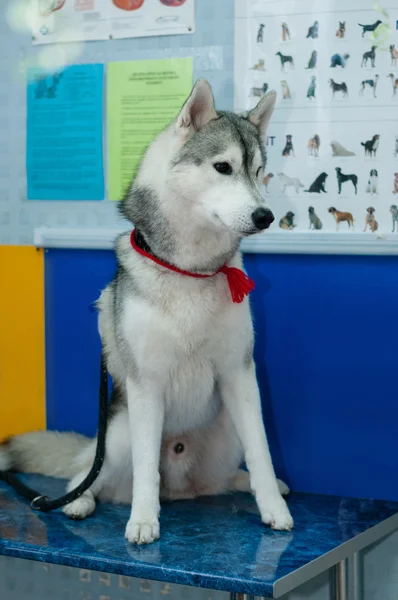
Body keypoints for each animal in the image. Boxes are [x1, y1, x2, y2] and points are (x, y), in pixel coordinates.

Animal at [0, 79, 292, 544]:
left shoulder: (240, 375)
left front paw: (274, 509)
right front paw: (142, 519)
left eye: (259, 171)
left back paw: (244, 484)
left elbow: (261, 452)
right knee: (86, 473)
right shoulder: (146, 386)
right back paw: (77, 501)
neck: (189, 271)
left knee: (222, 477)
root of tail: (183, 489)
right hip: (116, 437)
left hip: (226, 430)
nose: (266, 215)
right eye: (223, 167)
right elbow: (145, 471)